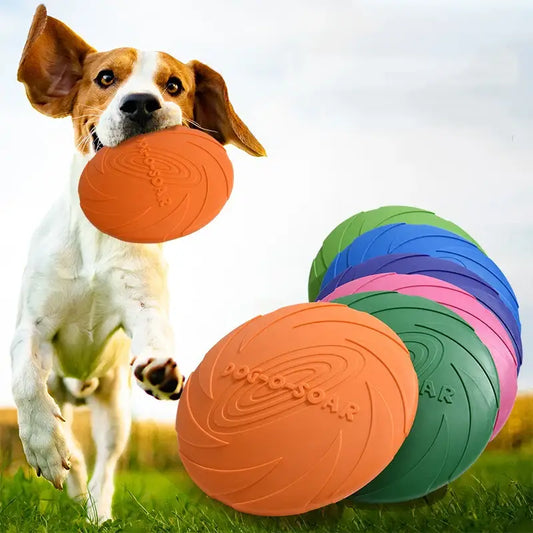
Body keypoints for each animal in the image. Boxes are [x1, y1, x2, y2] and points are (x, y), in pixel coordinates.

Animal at [10, 3, 264, 520]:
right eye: (106, 77)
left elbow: (156, 332)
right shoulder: (32, 326)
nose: (142, 103)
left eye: (175, 85)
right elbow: (25, 379)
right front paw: (44, 444)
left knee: (105, 464)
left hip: (115, 410)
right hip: (66, 386)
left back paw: (97, 513)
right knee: (73, 440)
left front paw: (164, 368)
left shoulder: (142, 305)